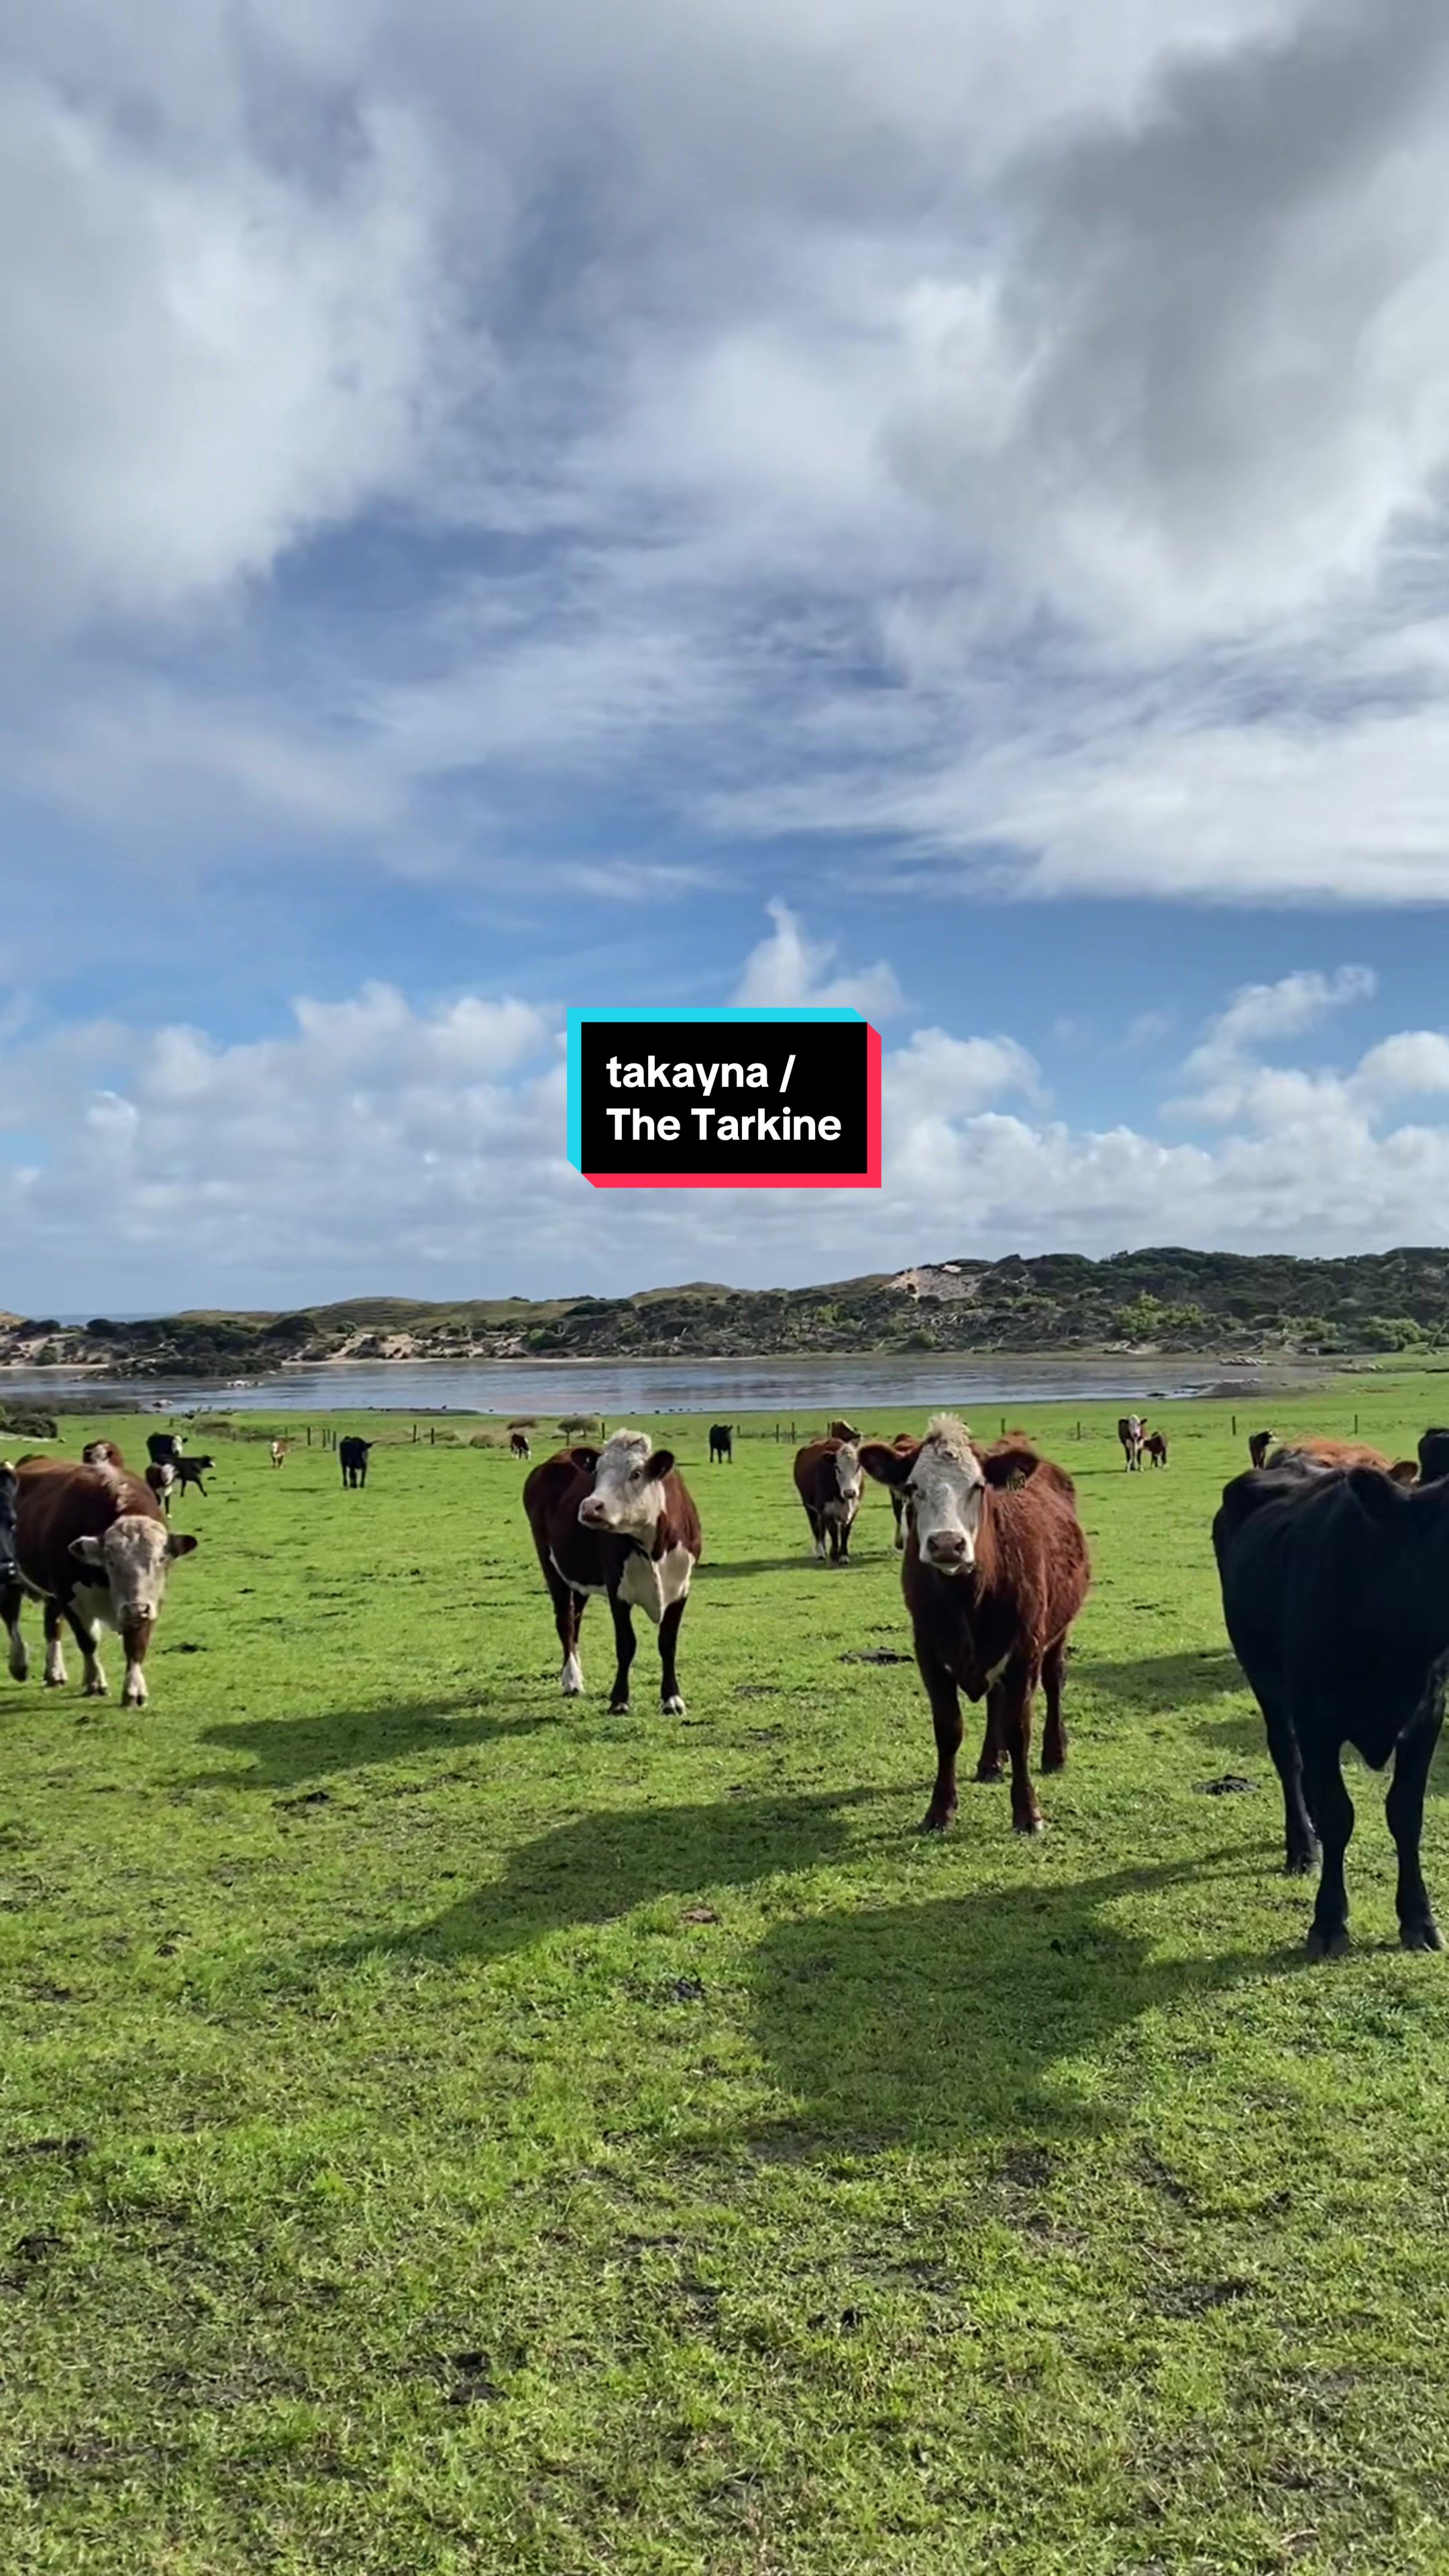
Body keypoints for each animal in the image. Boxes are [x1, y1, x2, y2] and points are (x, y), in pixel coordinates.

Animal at [3, 1463, 197, 1700]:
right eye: (110, 1561)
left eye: (161, 1559)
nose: (136, 1608)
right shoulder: (69, 1597)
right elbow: (88, 1641)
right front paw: (95, 1681)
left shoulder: (149, 1603)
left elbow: (136, 1644)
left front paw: (134, 1689)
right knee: (11, 1618)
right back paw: (19, 1664)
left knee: (52, 1627)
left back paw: (55, 1672)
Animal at [518, 1432, 701, 1710]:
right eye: (598, 1472)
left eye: (636, 1473)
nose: (590, 1507)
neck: (654, 1547)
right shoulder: (618, 1590)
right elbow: (626, 1644)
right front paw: (619, 1700)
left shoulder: (681, 1588)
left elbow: (668, 1643)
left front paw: (672, 1698)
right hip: (551, 1565)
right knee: (565, 1621)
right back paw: (571, 1679)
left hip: (580, 1577)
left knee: (575, 1618)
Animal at [789, 1442, 856, 1556]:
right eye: (837, 1468)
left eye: (858, 1467)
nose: (850, 1492)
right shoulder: (826, 1511)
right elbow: (833, 1534)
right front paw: (834, 1554)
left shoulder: (853, 1510)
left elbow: (845, 1532)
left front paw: (844, 1556)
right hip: (809, 1507)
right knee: (816, 1528)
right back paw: (820, 1552)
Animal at [856, 1421, 1083, 1844]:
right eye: (912, 1487)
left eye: (978, 1486)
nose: (947, 1543)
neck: (967, 1599)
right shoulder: (929, 1653)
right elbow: (949, 1730)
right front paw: (939, 1810)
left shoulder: (1025, 1651)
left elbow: (1018, 1728)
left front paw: (1028, 1812)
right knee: (995, 1698)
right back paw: (991, 1761)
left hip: (1058, 1634)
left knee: (1054, 1683)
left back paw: (1054, 1754)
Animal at [1206, 1452, 1449, 1947]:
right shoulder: (1317, 1721)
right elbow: (1340, 1816)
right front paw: (1329, 1921)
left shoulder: (1427, 1716)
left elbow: (1407, 1814)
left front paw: (1418, 1918)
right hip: (1267, 1683)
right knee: (1288, 1758)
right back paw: (1303, 1844)